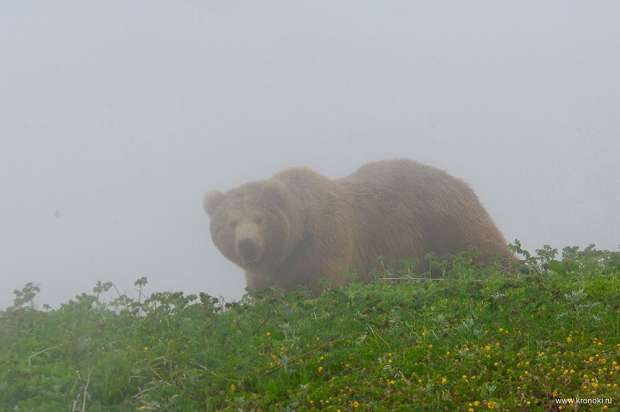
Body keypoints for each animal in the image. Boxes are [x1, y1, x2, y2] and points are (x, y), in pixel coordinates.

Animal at [203, 158, 512, 292]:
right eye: (231, 222)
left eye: (260, 218)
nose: (247, 245)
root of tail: (459, 181)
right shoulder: (269, 273)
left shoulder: (327, 243)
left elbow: (322, 287)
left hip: (443, 221)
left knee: (483, 251)